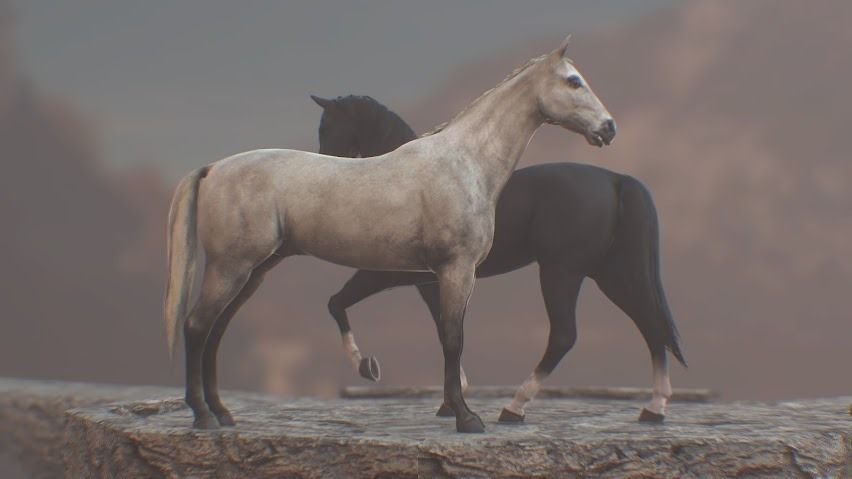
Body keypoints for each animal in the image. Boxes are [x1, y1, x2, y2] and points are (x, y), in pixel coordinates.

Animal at [164, 37, 615, 433]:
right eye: (573, 81)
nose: (608, 129)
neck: (463, 164)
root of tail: (213, 168)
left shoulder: (446, 277)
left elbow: (447, 337)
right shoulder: (453, 271)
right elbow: (453, 340)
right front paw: (466, 418)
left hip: (252, 272)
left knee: (216, 331)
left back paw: (222, 413)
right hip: (231, 268)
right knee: (197, 327)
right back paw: (203, 417)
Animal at [311, 94, 685, 424]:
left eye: (327, 126)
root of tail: (617, 180)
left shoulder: (384, 274)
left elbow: (336, 304)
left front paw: (368, 367)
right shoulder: (430, 282)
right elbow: (444, 329)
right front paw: (452, 401)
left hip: (562, 272)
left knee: (565, 335)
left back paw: (514, 408)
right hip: (611, 274)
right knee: (651, 326)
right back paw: (654, 409)